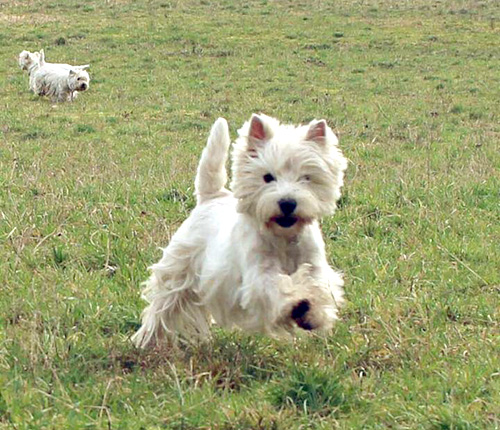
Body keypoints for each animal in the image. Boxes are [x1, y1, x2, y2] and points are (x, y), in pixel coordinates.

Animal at [135, 112, 350, 348]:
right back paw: (146, 340)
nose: (287, 203)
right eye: (267, 177)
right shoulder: (258, 275)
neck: (283, 238)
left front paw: (311, 312)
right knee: (162, 306)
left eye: (306, 178)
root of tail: (212, 196)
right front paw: (297, 302)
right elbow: (277, 287)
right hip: (179, 270)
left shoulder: (315, 265)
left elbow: (319, 286)